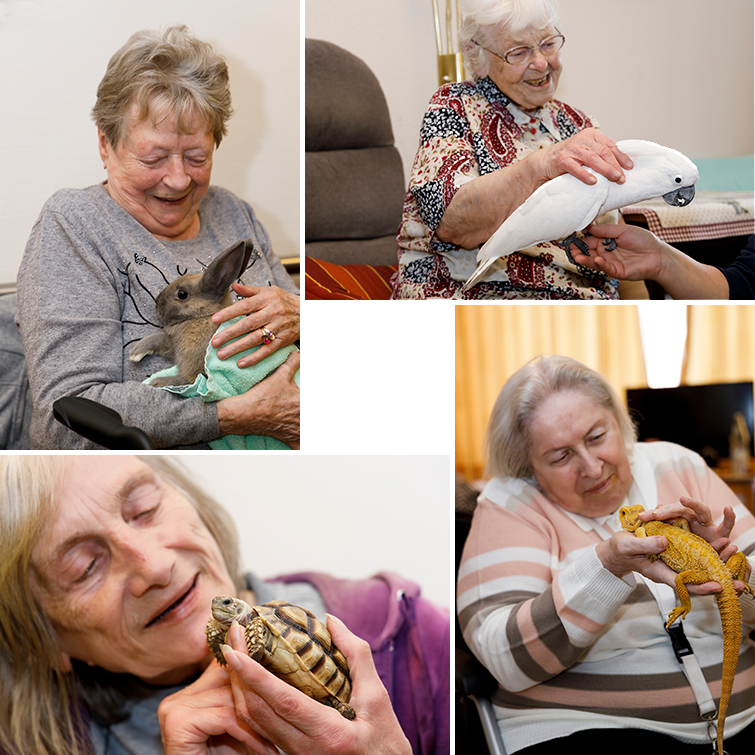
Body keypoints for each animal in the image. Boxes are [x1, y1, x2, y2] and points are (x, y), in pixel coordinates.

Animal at [129, 240, 252, 388]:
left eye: (182, 294)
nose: (157, 304)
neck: (202, 316)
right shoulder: (173, 345)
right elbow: (157, 339)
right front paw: (135, 352)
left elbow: (191, 379)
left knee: (191, 380)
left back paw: (158, 381)